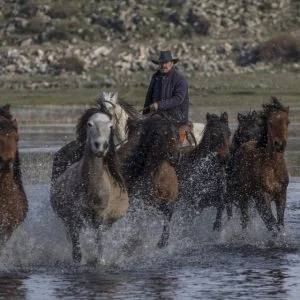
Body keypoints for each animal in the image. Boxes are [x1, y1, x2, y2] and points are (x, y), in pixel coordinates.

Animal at [51, 109, 128, 262]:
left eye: (110, 126)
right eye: (89, 124)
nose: (100, 146)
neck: (91, 188)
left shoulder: (100, 218)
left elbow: (100, 244)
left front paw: (100, 261)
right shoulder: (73, 219)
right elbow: (77, 251)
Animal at [233, 97, 290, 231]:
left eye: (287, 122)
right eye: (270, 122)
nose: (279, 144)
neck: (273, 167)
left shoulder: (281, 195)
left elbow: (279, 223)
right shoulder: (263, 197)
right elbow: (272, 222)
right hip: (243, 196)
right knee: (245, 219)